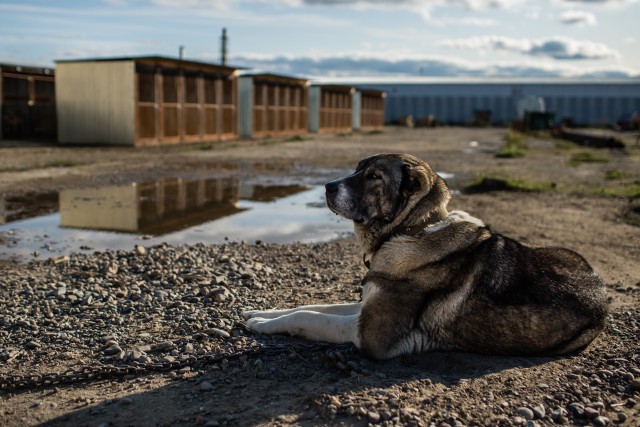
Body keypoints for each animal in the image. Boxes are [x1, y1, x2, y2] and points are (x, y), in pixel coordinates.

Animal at [242, 154, 608, 362]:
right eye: (357, 168)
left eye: (374, 176)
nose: (328, 187)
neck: (414, 228)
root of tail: (600, 287)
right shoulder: (366, 304)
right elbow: (312, 306)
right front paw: (261, 312)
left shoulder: (370, 333)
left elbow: (311, 317)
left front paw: (262, 325)